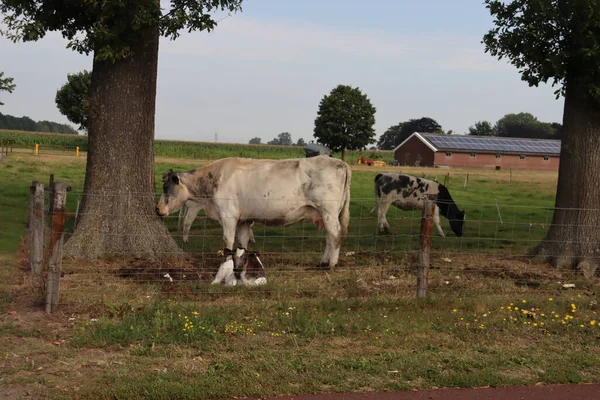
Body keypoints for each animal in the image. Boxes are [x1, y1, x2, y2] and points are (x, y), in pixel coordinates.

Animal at [157, 155, 352, 270]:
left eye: (166, 187)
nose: (157, 209)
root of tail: (340, 162)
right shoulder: (244, 220)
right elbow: (242, 243)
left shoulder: (228, 215)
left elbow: (228, 241)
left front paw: (226, 264)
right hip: (325, 214)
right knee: (329, 236)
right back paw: (323, 262)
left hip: (328, 210)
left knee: (335, 235)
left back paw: (331, 263)